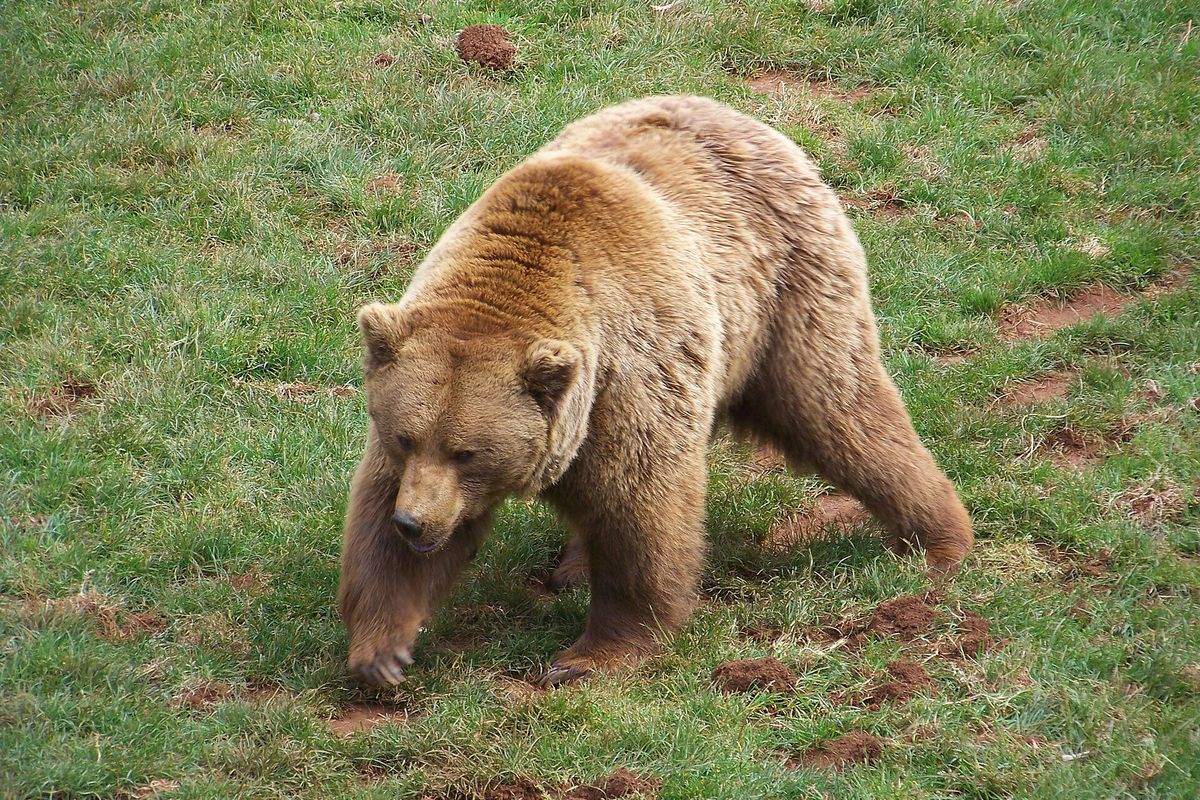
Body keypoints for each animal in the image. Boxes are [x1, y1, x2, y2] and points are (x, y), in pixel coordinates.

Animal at [338, 95, 973, 688]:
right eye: (405, 438)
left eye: (466, 452)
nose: (414, 523)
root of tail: (745, 117)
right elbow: (376, 514)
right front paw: (382, 650)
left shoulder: (629, 376)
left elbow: (640, 507)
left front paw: (590, 655)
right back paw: (572, 566)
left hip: (788, 292)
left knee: (841, 407)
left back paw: (939, 540)